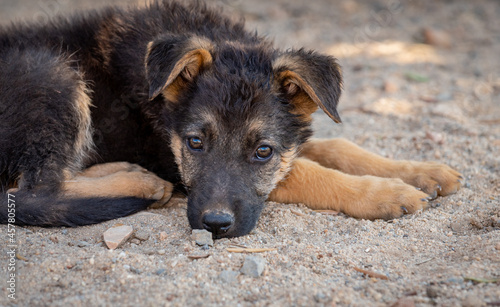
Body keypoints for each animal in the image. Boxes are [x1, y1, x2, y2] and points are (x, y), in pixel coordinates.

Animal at [0, 0, 460, 238]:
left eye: (263, 151)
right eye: (194, 144)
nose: (215, 226)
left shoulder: (290, 138)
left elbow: (337, 147)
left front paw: (422, 170)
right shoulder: (171, 155)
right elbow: (312, 173)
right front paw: (385, 193)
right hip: (51, 73)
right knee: (37, 188)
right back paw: (138, 180)